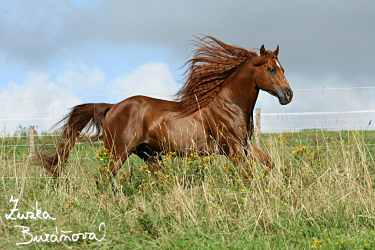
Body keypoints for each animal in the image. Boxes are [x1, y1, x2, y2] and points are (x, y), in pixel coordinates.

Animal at [41, 36, 294, 179]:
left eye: (283, 68)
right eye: (271, 69)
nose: (288, 95)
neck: (229, 106)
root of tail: (112, 108)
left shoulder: (244, 146)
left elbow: (270, 164)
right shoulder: (231, 148)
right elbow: (247, 176)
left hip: (149, 155)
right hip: (118, 152)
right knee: (103, 180)